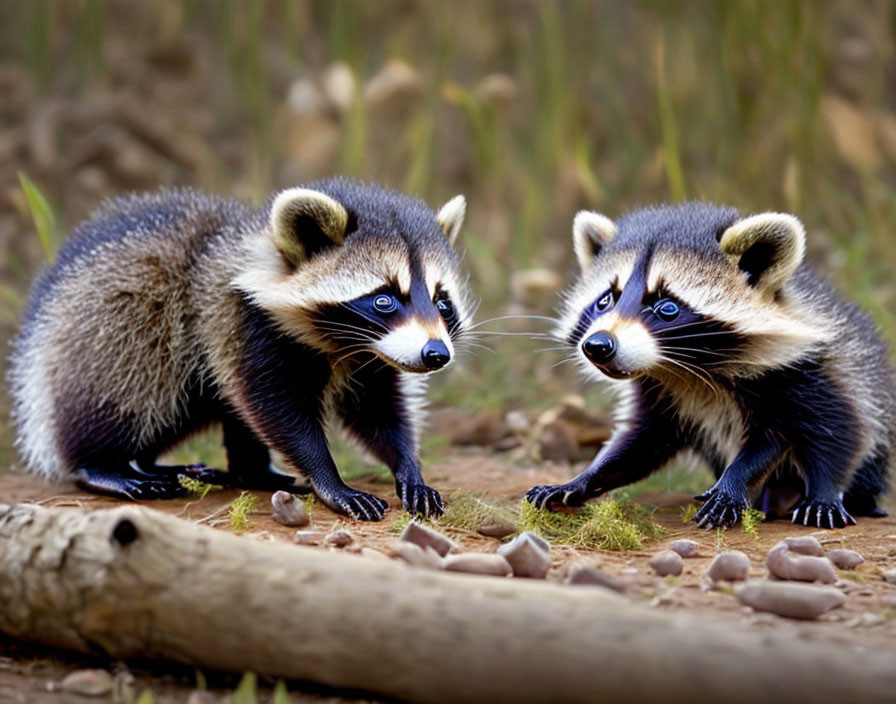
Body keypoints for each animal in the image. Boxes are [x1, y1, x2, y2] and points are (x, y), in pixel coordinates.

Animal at [8, 179, 476, 520]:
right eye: (383, 299)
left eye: (442, 302)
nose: (436, 355)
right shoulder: (242, 323)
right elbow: (277, 411)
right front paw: (329, 478)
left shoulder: (370, 356)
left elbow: (378, 411)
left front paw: (407, 465)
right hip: (114, 321)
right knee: (132, 388)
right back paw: (103, 464)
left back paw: (238, 469)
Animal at [528, 204, 892, 528]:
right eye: (605, 300)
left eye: (667, 307)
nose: (598, 346)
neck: (684, 367)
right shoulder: (661, 395)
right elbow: (637, 445)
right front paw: (582, 478)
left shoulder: (806, 372)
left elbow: (831, 432)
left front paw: (745, 482)